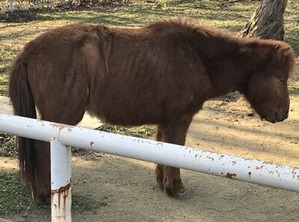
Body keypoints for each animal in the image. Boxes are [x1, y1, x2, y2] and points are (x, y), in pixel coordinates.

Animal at [8, 19, 296, 202]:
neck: (197, 56)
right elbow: (176, 150)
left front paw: (164, 183)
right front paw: (176, 188)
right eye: (281, 79)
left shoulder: (166, 121)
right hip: (58, 121)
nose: (283, 114)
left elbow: (164, 151)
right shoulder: (179, 119)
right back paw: (45, 195)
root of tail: (28, 50)